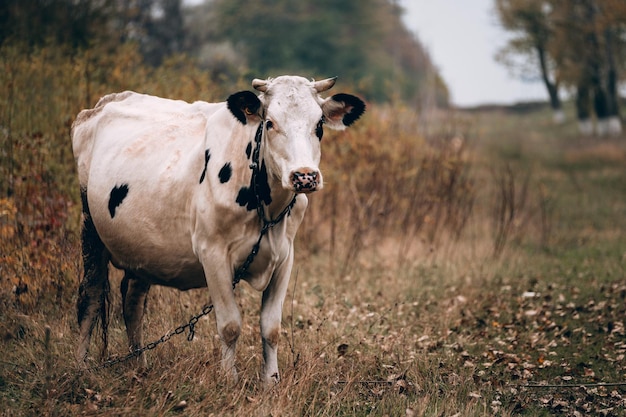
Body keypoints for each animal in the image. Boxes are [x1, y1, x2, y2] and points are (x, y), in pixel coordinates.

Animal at [72, 75, 366, 384]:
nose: (305, 177)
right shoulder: (212, 253)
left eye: (319, 124)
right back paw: (81, 367)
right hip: (90, 227)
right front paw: (229, 380)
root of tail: (102, 104)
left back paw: (140, 365)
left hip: (143, 249)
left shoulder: (285, 257)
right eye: (269, 123)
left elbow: (271, 327)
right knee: (90, 297)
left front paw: (271, 381)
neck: (267, 208)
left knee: (133, 302)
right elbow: (230, 326)